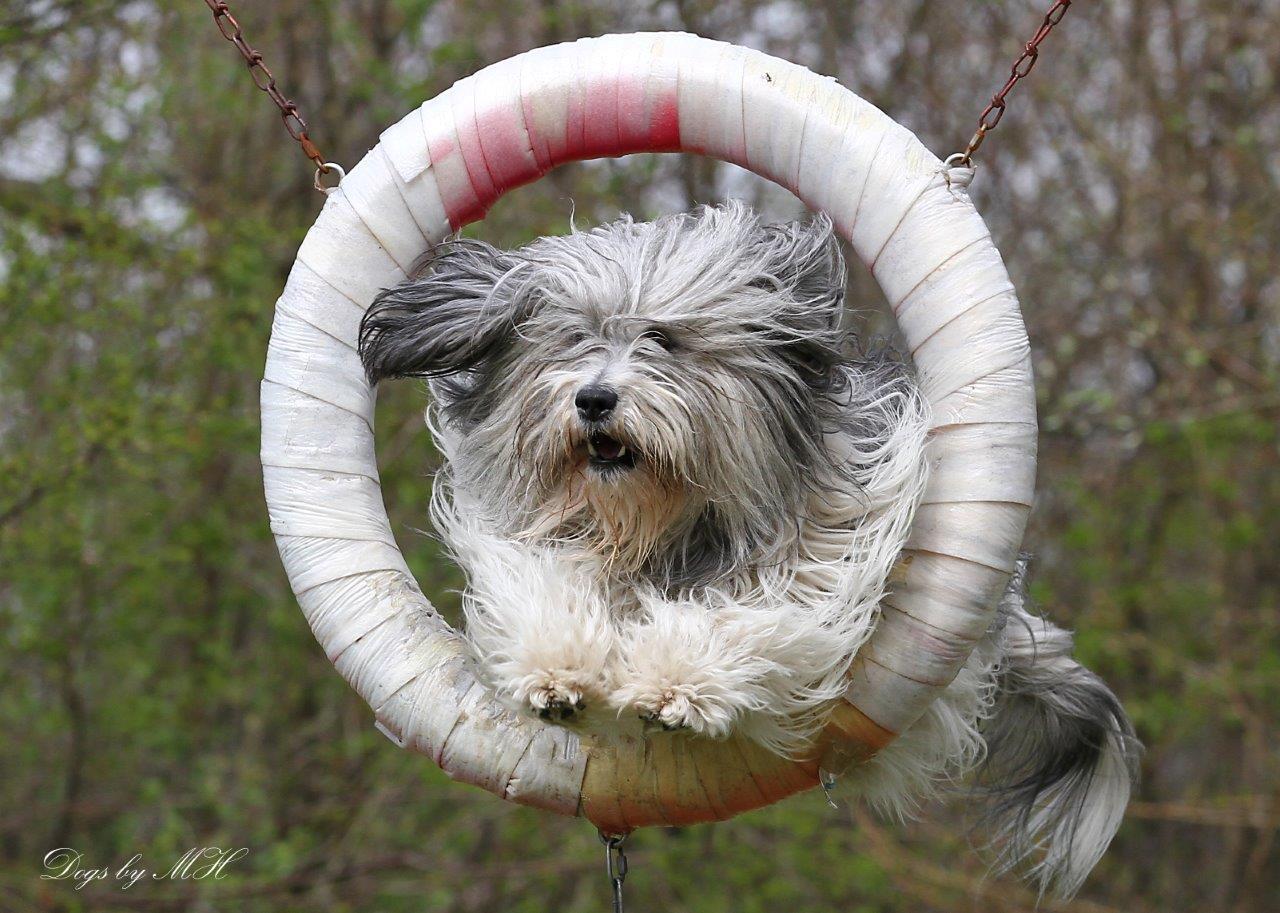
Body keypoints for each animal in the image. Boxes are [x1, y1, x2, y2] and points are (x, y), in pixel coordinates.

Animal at [359, 201, 1139, 897]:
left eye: (665, 340)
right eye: (572, 338)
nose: (594, 399)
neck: (669, 527)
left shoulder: (827, 557)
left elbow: (752, 616)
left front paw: (673, 684)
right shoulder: (542, 542)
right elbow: (547, 581)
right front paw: (555, 671)